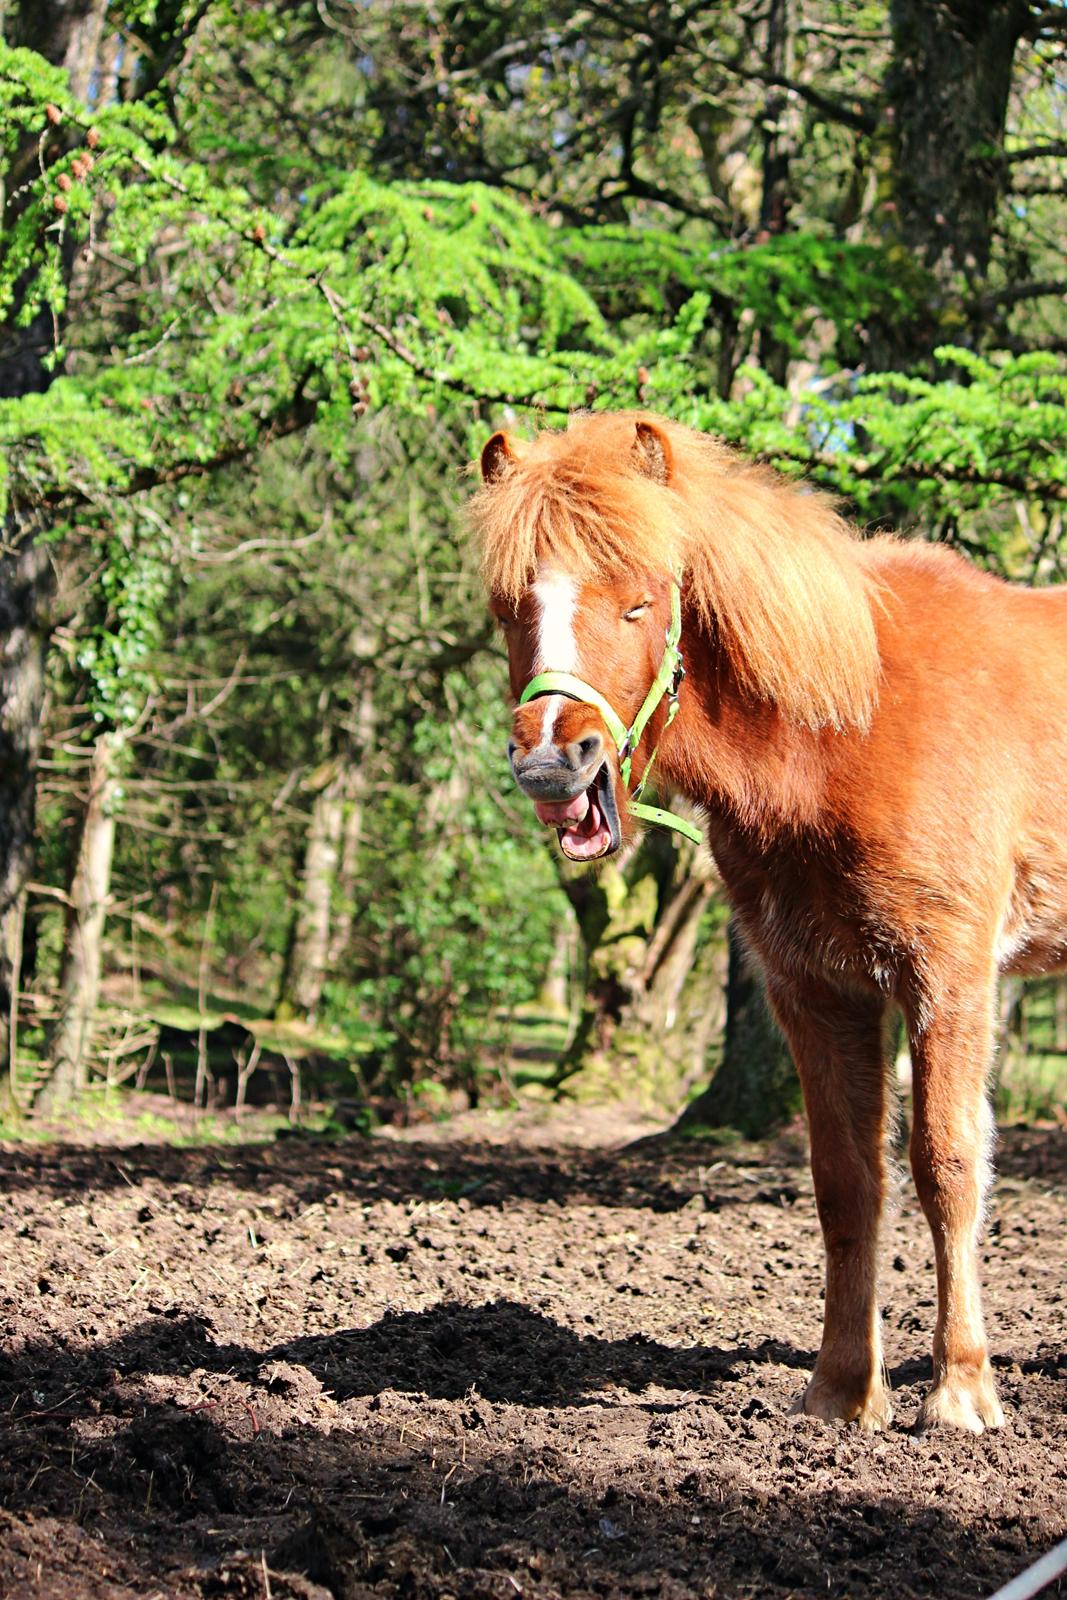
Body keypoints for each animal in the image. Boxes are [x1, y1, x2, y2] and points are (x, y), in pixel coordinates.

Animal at [470, 406, 1067, 1433]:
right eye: (511, 609)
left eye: (640, 604)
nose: (553, 763)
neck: (849, 724)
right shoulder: (815, 992)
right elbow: (846, 1183)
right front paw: (841, 1392)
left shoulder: (948, 980)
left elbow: (947, 1167)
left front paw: (958, 1391)